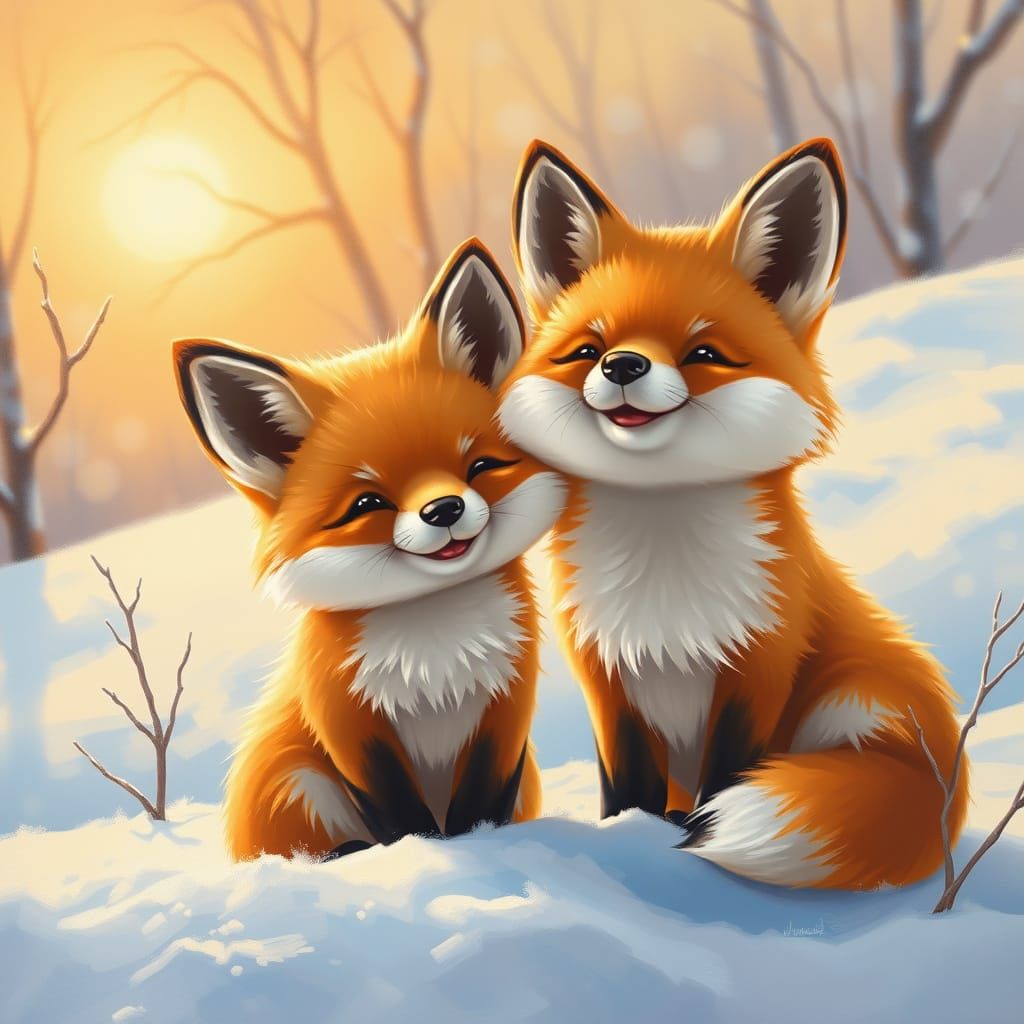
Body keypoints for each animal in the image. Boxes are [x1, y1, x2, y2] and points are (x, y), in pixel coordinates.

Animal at [173, 239, 566, 861]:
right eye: (368, 502)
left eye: (479, 466)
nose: (444, 509)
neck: (435, 643)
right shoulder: (352, 728)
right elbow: (397, 813)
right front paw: (424, 850)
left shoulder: (504, 713)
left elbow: (483, 802)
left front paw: (485, 844)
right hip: (300, 781)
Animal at [497, 137, 968, 890]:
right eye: (588, 349)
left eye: (704, 354)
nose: (623, 366)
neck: (664, 590)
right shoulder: (610, 682)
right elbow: (626, 789)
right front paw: (626, 837)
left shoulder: (757, 672)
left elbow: (726, 778)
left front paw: (682, 843)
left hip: (852, 699)